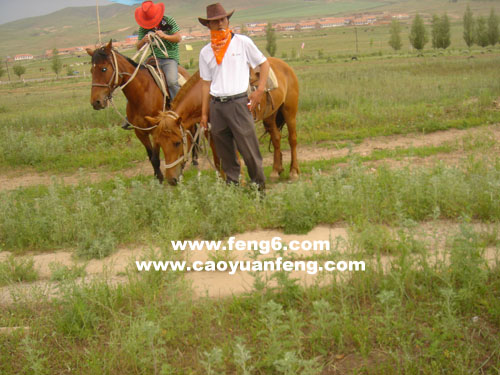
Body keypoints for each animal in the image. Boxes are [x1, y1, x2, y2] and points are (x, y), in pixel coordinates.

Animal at [86, 40, 189, 183]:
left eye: (104, 69)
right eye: (91, 70)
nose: (96, 102)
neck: (142, 94)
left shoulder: (155, 130)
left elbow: (156, 157)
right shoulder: (140, 132)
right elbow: (151, 158)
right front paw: (158, 178)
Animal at [146, 57, 300, 185]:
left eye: (177, 143)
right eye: (160, 143)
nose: (171, 179)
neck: (207, 97)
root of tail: (285, 66)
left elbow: (234, 158)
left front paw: (241, 182)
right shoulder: (211, 132)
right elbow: (218, 161)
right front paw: (225, 184)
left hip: (289, 111)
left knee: (292, 139)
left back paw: (293, 172)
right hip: (270, 117)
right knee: (276, 138)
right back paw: (275, 171)